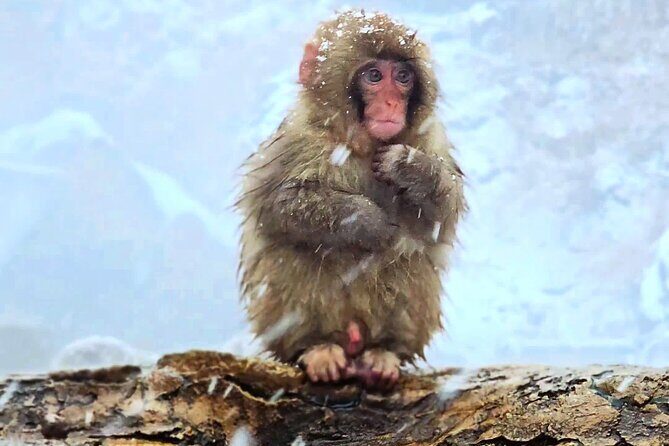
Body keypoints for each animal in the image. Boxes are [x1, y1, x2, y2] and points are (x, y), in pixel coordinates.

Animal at [237, 10, 466, 389]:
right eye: (374, 76)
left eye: (402, 77)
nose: (391, 103)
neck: (362, 145)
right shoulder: (297, 139)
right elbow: (279, 206)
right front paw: (366, 220)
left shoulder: (432, 138)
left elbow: (441, 220)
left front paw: (410, 168)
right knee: (295, 253)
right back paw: (316, 348)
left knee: (411, 259)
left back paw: (385, 352)